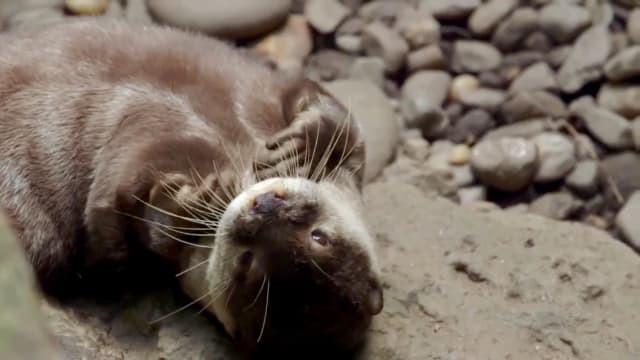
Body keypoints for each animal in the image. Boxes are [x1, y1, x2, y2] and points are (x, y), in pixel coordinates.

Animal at [0, 19, 380, 354]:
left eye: (247, 263)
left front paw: (190, 204)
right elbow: (329, 108)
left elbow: (124, 204)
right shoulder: (264, 85)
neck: (239, 149)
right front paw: (299, 144)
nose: (263, 209)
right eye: (320, 237)